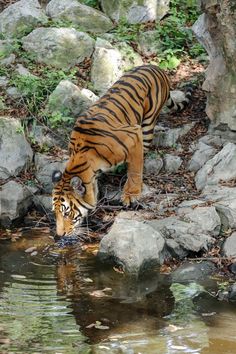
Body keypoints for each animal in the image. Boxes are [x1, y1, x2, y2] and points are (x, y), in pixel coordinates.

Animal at [52, 65, 192, 236]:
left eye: (66, 213)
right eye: (55, 213)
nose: (59, 235)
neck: (82, 158)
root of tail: (156, 67)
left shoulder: (134, 135)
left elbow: (135, 171)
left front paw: (131, 195)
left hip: (147, 124)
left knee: (142, 155)